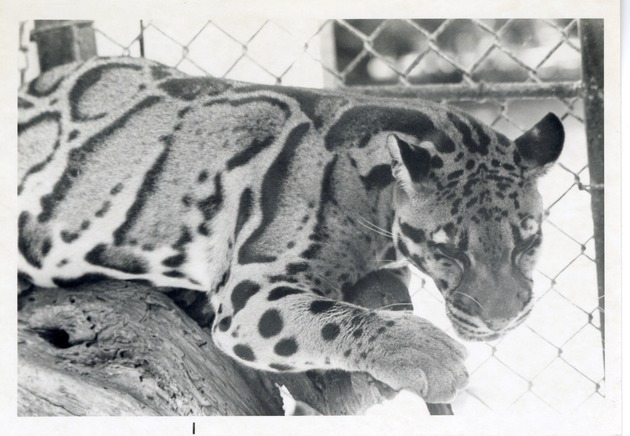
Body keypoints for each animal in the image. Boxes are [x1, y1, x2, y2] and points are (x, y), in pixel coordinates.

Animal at [17, 56, 564, 404]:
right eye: (447, 251)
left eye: (529, 242)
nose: (502, 319)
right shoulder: (249, 293)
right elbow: (328, 317)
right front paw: (421, 350)